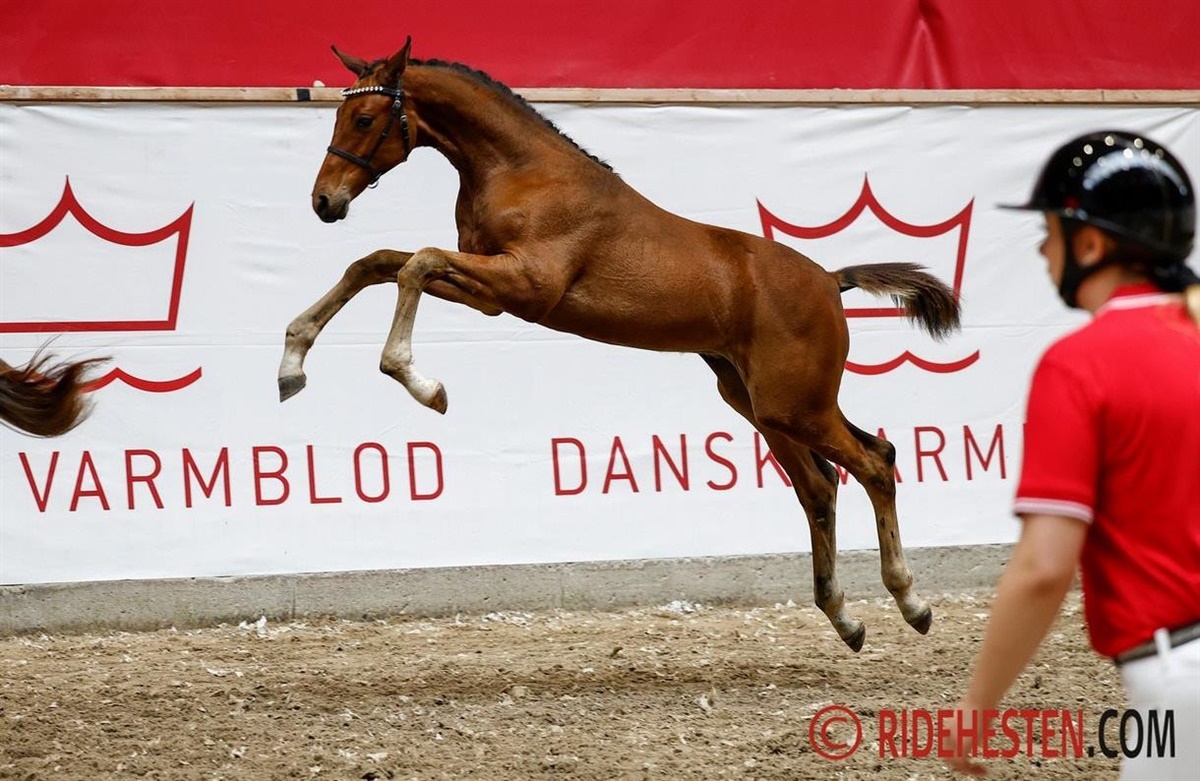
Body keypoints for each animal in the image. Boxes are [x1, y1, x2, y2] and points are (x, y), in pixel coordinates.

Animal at [278, 38, 962, 651]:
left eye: (364, 118)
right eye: (340, 115)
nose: (323, 202)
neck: (525, 175)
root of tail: (829, 280)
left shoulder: (526, 284)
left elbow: (414, 264)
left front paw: (422, 384)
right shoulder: (492, 289)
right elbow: (377, 263)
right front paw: (292, 363)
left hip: (795, 404)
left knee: (875, 461)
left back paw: (912, 603)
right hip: (759, 402)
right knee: (821, 486)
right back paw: (845, 619)